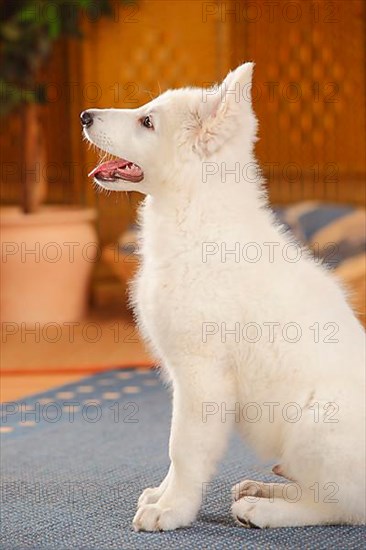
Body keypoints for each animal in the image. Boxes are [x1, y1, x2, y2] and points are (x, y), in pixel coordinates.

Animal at [81, 62, 364, 532]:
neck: (194, 215)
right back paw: (262, 489)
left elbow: (183, 448)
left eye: (147, 122)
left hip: (317, 424)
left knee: (342, 506)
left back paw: (264, 509)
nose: (84, 115)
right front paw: (163, 496)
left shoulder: (201, 373)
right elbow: (176, 452)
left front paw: (171, 511)